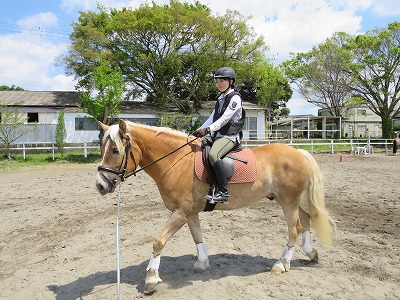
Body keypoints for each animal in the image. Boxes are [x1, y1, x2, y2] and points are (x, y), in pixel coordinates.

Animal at [94, 119, 334, 292]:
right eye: (102, 147)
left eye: (115, 150)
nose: (100, 185)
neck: (176, 161)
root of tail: (299, 152)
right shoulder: (189, 212)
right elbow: (197, 236)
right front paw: (202, 263)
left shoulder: (180, 212)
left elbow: (158, 241)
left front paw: (151, 279)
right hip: (286, 200)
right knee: (305, 219)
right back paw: (310, 253)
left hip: (288, 201)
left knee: (294, 228)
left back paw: (281, 264)